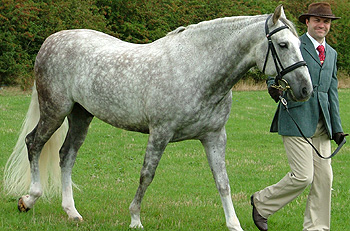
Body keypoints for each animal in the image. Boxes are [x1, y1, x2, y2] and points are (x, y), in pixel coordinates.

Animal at [4, 5, 312, 231]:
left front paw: (234, 224)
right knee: (34, 143)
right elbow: (146, 176)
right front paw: (135, 219)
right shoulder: (160, 133)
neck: (197, 68)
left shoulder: (214, 136)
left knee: (66, 155)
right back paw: (28, 200)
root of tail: (52, 40)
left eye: (299, 43)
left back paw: (72, 212)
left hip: (81, 116)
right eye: (283, 45)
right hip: (55, 111)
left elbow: (222, 181)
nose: (305, 90)